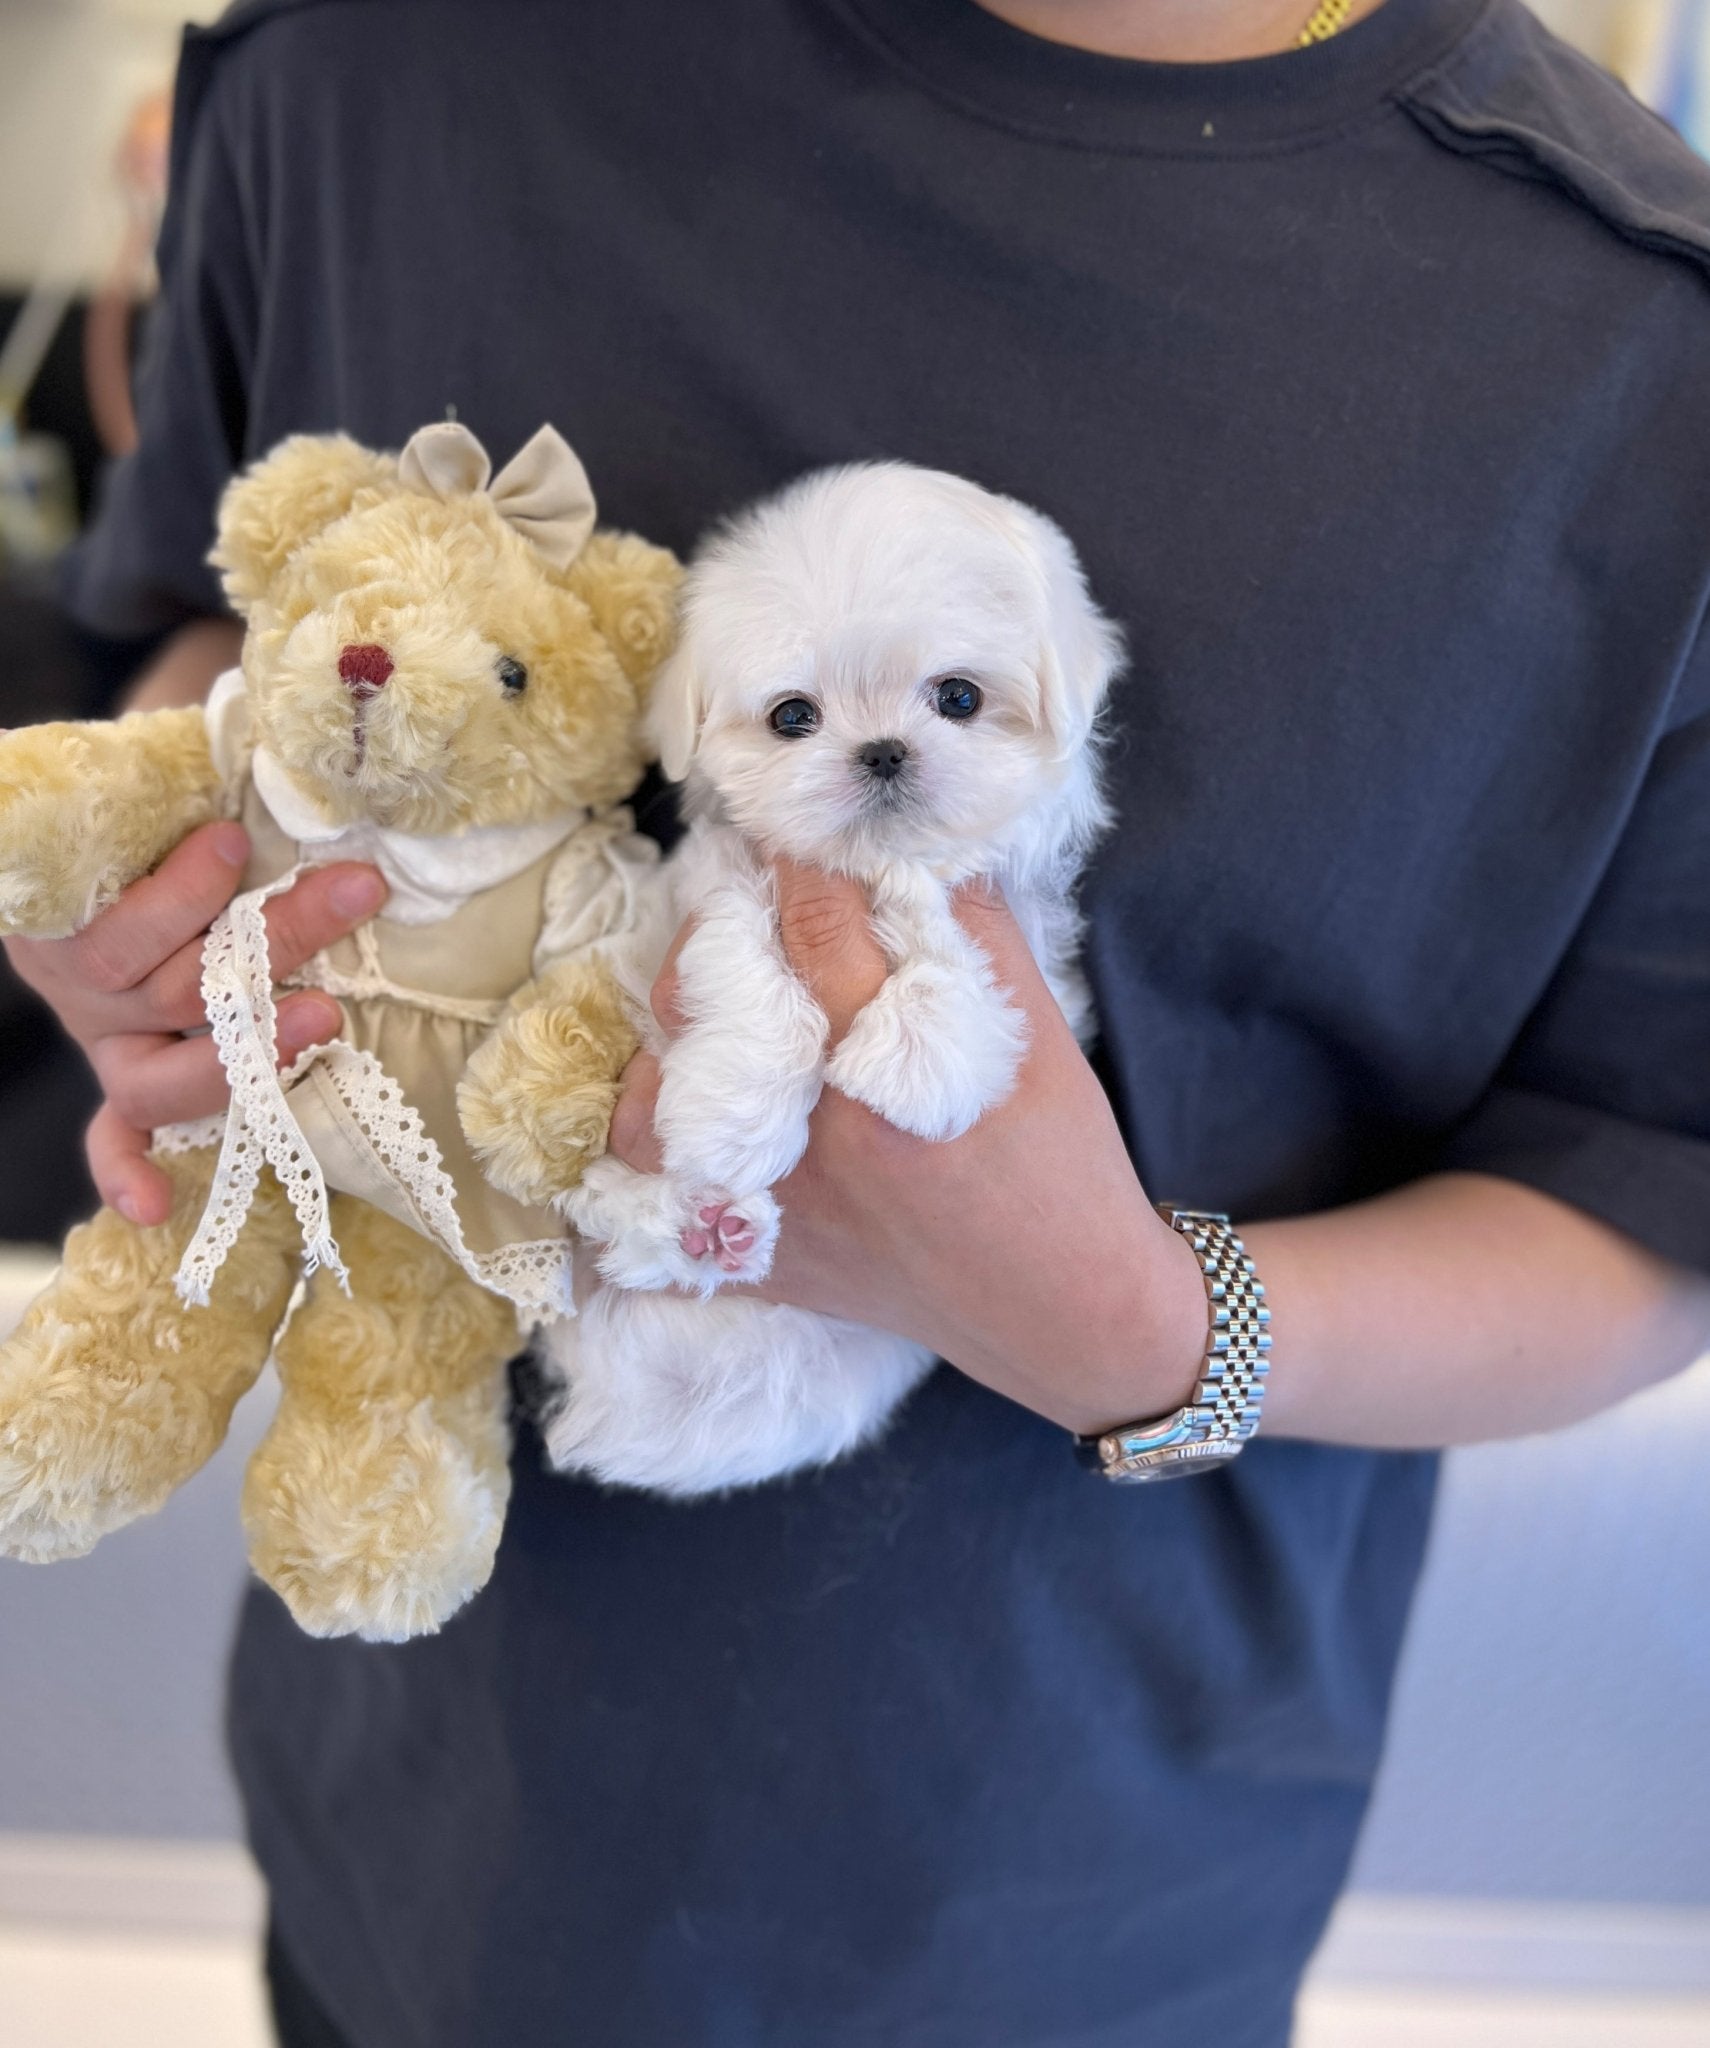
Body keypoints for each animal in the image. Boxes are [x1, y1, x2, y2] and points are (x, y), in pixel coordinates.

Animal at [540, 460, 1114, 1490]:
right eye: (792, 717)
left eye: (958, 698)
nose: (882, 750)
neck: (871, 870)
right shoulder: (721, 889)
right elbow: (753, 982)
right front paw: (734, 1119)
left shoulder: (1014, 924)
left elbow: (958, 954)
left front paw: (919, 1062)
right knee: (611, 1211)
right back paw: (701, 1216)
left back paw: (719, 1235)